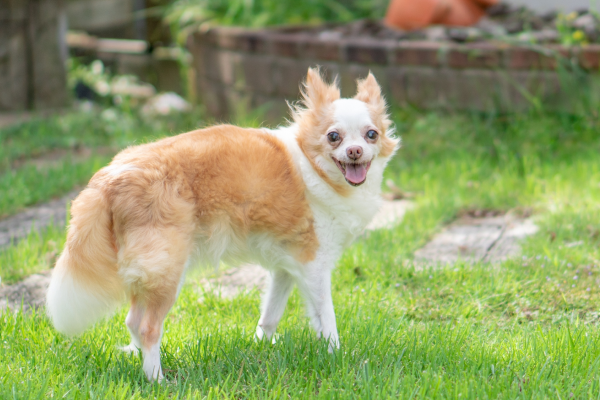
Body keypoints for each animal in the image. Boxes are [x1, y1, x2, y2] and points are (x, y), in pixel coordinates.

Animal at [45, 68, 398, 382]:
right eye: (333, 137)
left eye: (372, 134)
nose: (355, 151)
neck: (316, 167)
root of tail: (111, 177)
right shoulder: (315, 266)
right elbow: (327, 318)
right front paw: (337, 356)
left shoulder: (287, 267)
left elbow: (270, 314)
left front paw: (262, 347)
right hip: (168, 269)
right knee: (148, 327)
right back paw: (157, 380)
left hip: (147, 270)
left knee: (132, 320)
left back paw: (138, 361)